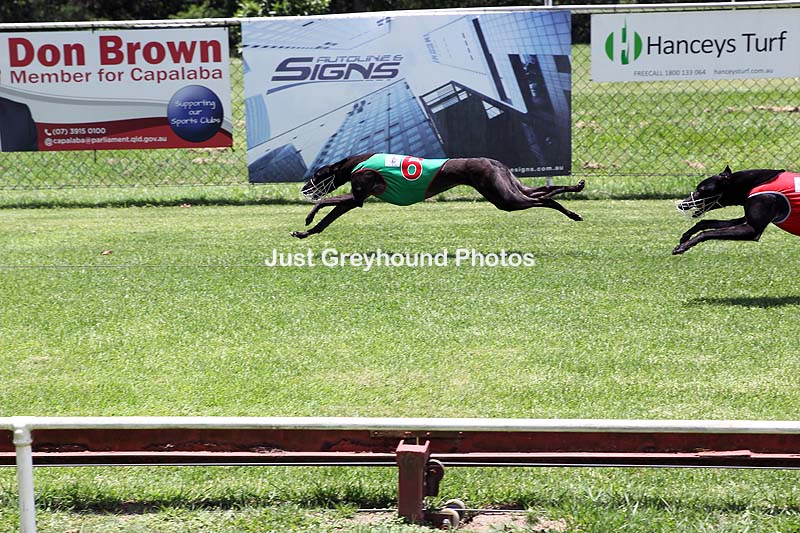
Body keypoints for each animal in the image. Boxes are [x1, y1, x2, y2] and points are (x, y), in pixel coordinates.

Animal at [291, 153, 584, 239]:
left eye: (317, 175)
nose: (303, 189)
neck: (354, 163)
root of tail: (493, 161)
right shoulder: (354, 201)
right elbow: (326, 222)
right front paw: (305, 232)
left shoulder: (357, 198)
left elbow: (324, 201)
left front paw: (307, 218)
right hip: (510, 188)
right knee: (547, 191)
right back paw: (576, 193)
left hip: (504, 198)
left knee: (544, 199)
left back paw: (572, 210)